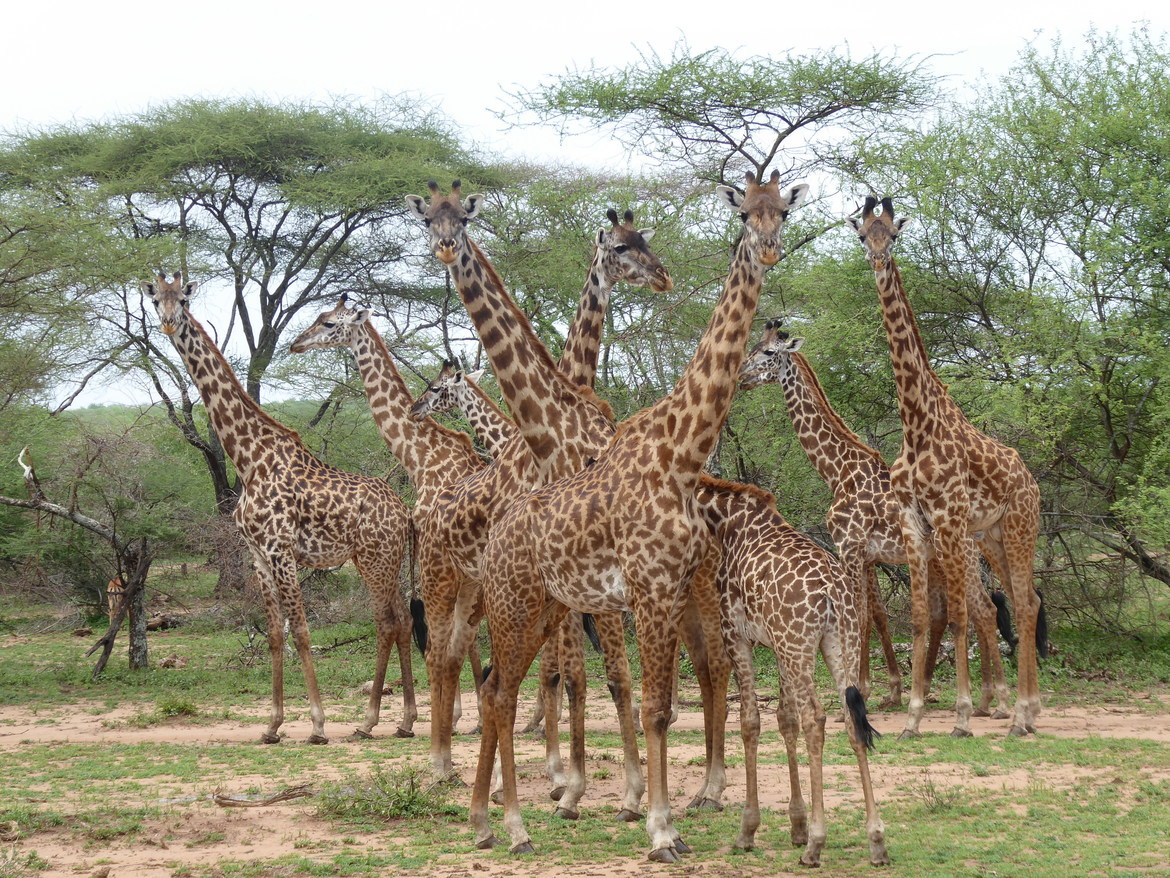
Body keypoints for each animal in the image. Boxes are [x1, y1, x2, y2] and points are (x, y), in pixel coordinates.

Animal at [143, 273, 415, 744]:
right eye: (156, 299)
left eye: (185, 299)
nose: (169, 323)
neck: (249, 458)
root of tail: (404, 512)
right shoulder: (256, 553)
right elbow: (274, 634)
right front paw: (272, 725)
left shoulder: (279, 548)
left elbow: (302, 631)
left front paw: (318, 724)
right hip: (382, 560)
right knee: (401, 619)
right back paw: (402, 720)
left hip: (374, 558)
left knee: (388, 621)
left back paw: (371, 721)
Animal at [466, 171, 808, 860]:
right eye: (745, 215)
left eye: (782, 212)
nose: (769, 251)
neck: (680, 453)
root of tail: (498, 533)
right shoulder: (645, 591)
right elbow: (644, 703)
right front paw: (657, 828)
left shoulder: (668, 590)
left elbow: (663, 704)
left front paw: (657, 814)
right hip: (516, 605)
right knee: (500, 691)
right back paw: (510, 825)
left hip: (547, 609)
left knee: (499, 689)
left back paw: (492, 822)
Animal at [696, 475, 888, 867]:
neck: (728, 525)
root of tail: (831, 592)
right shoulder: (776, 643)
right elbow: (785, 720)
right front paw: (796, 825)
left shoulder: (737, 635)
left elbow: (751, 722)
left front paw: (748, 831)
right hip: (838, 642)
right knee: (851, 717)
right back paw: (876, 841)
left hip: (799, 646)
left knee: (815, 718)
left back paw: (817, 844)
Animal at [740, 322, 1013, 717]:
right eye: (752, 348)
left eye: (768, 353)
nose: (742, 378)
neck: (838, 472)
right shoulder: (867, 555)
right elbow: (875, 616)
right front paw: (889, 690)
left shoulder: (849, 547)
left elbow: (859, 616)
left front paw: (861, 689)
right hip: (950, 559)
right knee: (971, 611)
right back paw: (982, 698)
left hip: (956, 555)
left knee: (982, 610)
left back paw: (998, 701)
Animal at [849, 196, 1044, 738]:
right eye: (863, 235)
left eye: (892, 235)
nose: (878, 261)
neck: (917, 424)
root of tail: (1032, 482)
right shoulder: (915, 522)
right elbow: (919, 617)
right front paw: (914, 718)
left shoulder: (950, 519)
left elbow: (958, 615)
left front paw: (960, 715)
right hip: (992, 537)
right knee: (1024, 601)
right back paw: (1027, 710)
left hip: (1018, 529)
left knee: (1022, 604)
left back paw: (1020, 715)